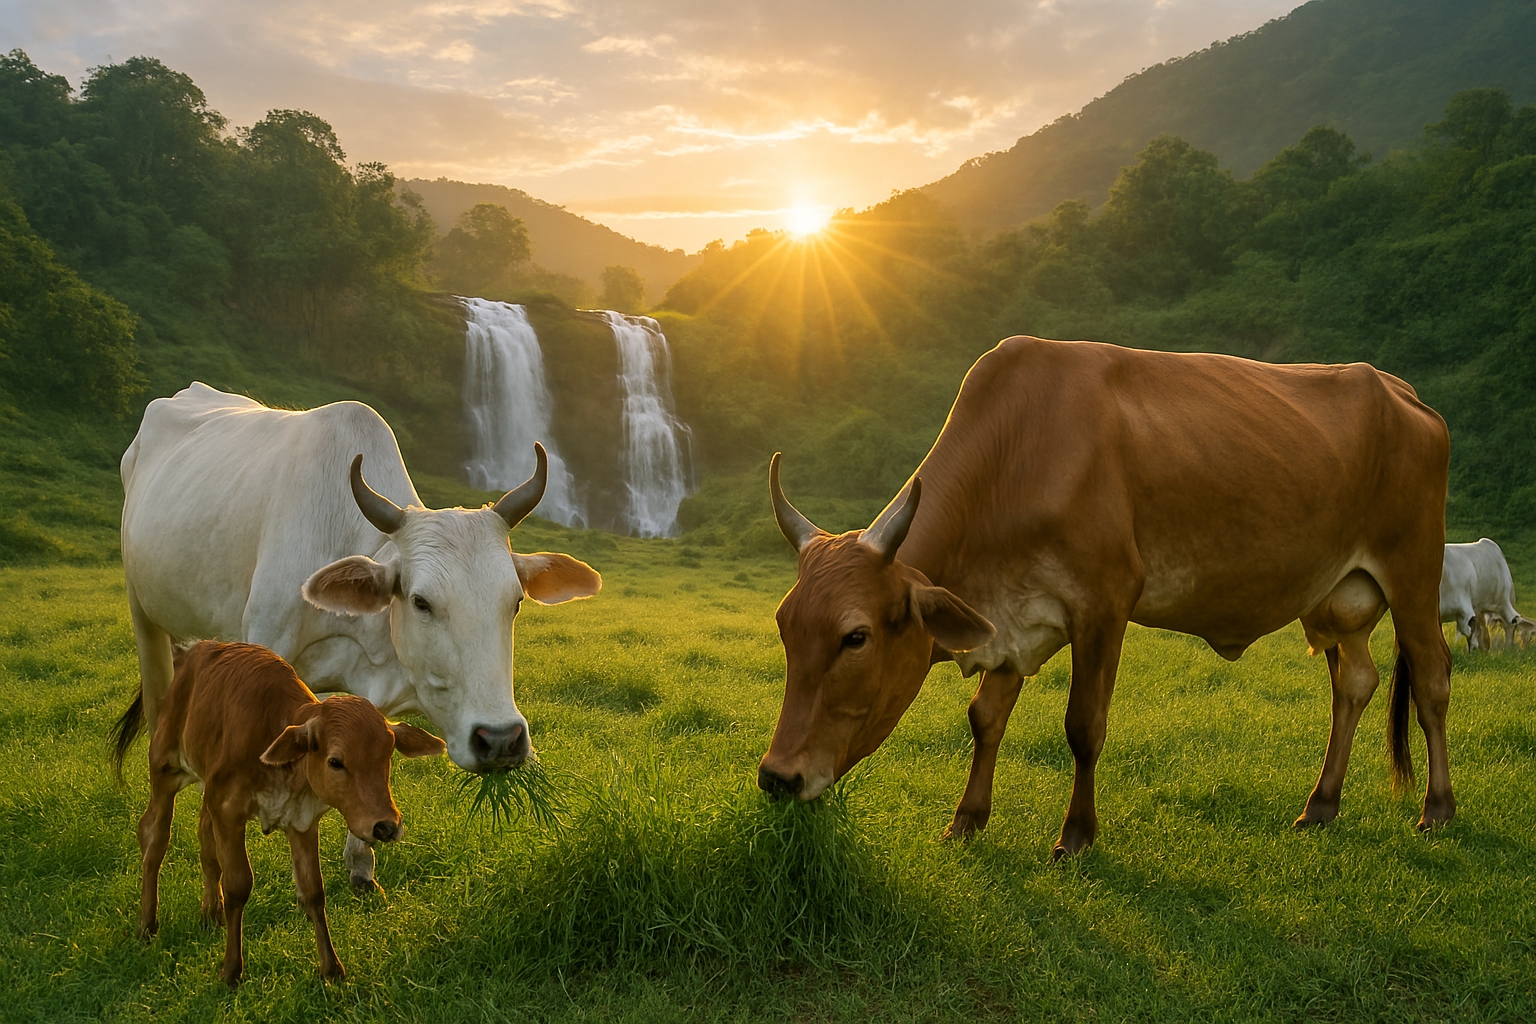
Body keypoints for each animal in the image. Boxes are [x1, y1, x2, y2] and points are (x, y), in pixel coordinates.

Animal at [135, 641, 444, 987]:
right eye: (336, 761)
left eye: (388, 753)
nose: (386, 826)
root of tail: (188, 651)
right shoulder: (228, 811)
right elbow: (238, 884)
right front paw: (231, 970)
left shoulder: (301, 821)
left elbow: (314, 891)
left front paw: (331, 968)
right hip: (164, 767)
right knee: (153, 836)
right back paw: (147, 923)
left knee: (204, 840)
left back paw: (211, 913)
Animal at [758, 336, 1454, 859]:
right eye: (786, 626)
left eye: (856, 636)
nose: (777, 776)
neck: (1016, 455)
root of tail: (1403, 392)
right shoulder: (1014, 618)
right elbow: (986, 718)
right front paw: (967, 820)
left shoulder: (1104, 604)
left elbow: (1083, 726)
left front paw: (1076, 836)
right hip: (1340, 598)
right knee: (1355, 682)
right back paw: (1322, 804)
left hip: (1414, 571)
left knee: (1432, 678)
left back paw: (1438, 808)